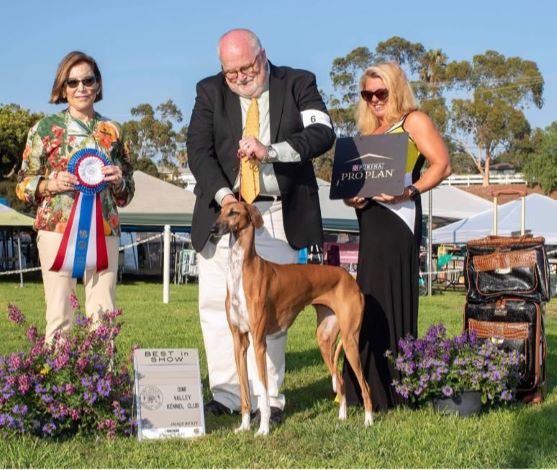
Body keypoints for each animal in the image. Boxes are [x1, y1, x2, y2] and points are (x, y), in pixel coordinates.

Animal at [212, 201, 372, 436]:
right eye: (220, 211)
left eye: (233, 212)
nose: (213, 229)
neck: (241, 271)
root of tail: (350, 278)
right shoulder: (239, 342)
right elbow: (243, 391)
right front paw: (244, 426)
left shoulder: (259, 342)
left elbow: (264, 392)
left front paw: (263, 429)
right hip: (324, 339)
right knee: (341, 381)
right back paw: (342, 417)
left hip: (350, 340)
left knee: (365, 385)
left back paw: (369, 421)